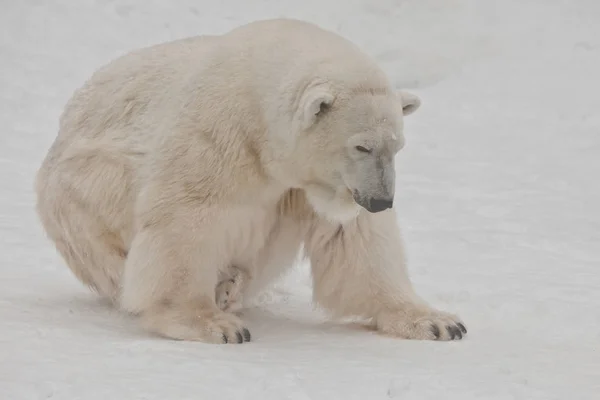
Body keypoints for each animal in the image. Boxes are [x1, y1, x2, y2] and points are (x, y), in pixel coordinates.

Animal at [36, 19, 468, 344]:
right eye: (361, 145)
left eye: (397, 146)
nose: (381, 201)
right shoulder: (217, 134)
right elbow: (184, 220)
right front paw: (212, 324)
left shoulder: (317, 187)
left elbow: (356, 242)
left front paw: (439, 322)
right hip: (81, 196)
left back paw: (231, 284)